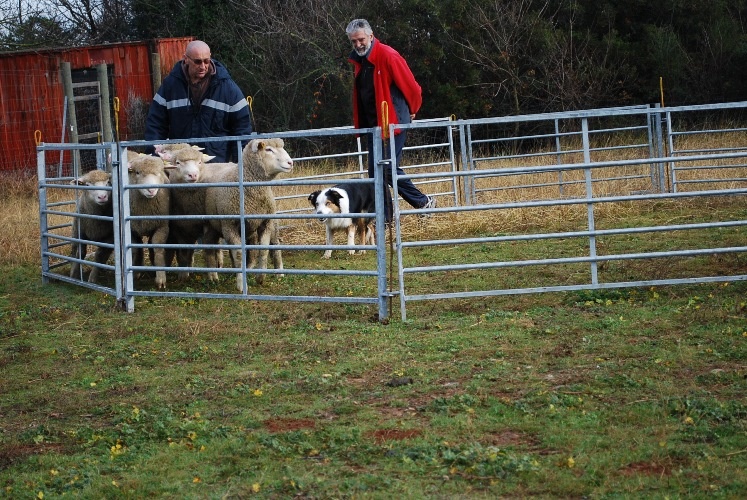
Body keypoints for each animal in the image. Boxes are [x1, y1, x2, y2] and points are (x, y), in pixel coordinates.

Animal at [126, 155, 172, 290]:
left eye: (159, 172)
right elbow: (134, 250)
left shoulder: (162, 227)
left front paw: (161, 278)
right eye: (137, 172)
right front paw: (134, 274)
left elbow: (158, 249)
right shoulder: (131, 229)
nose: (151, 190)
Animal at [203, 139, 294, 292]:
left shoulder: (265, 223)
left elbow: (263, 250)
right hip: (212, 226)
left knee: (275, 244)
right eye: (268, 149)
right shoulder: (229, 226)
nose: (290, 162)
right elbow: (239, 254)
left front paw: (260, 277)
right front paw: (241, 283)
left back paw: (279, 272)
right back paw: (213, 276)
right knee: (209, 247)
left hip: (271, 222)